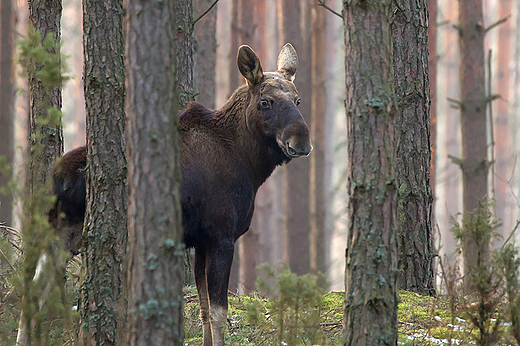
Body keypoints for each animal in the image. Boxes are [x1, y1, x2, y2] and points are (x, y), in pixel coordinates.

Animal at [51, 44, 312, 346]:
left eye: (298, 100)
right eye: (265, 102)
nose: (301, 140)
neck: (249, 163)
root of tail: (58, 177)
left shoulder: (201, 241)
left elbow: (204, 310)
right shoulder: (222, 236)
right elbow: (219, 312)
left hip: (62, 234)